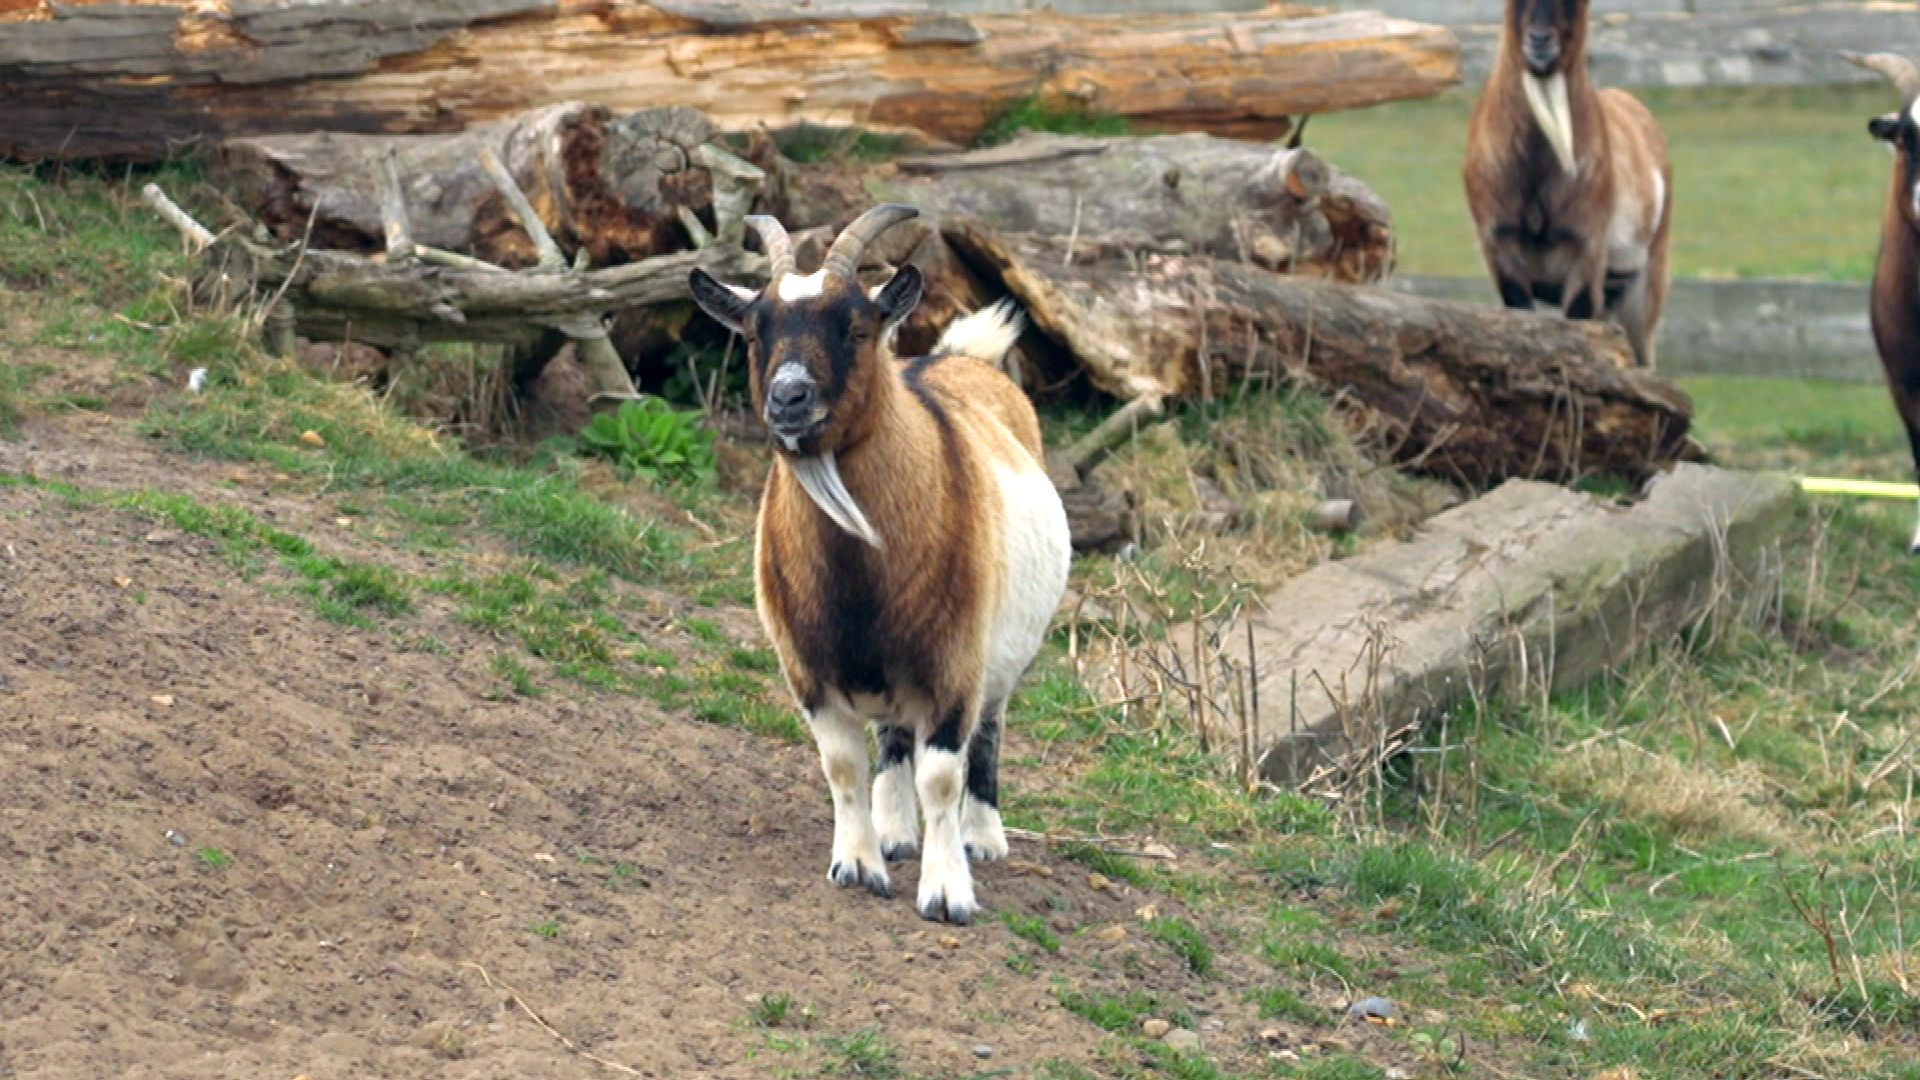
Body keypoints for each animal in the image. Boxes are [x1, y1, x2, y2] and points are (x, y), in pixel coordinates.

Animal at [688, 205, 1071, 924]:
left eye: (856, 328)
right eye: (755, 332)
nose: (788, 398)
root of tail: (961, 360)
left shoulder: (955, 664)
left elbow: (942, 775)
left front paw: (947, 892)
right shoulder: (808, 668)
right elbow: (843, 766)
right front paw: (860, 863)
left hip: (1004, 654)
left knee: (989, 732)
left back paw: (985, 837)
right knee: (893, 739)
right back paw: (895, 832)